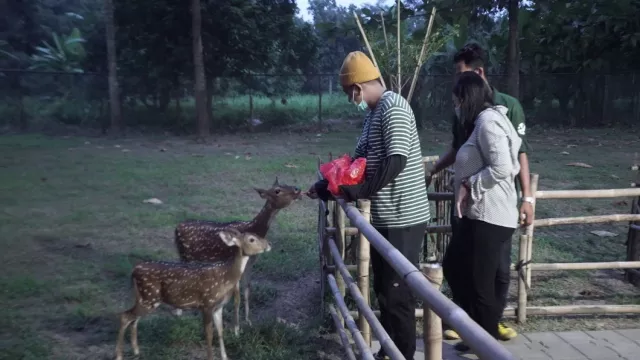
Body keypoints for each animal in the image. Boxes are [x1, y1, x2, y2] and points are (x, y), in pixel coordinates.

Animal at [115, 229, 270, 360]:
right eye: (251, 239)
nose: (269, 245)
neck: (226, 277)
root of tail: (134, 270)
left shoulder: (218, 307)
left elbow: (220, 332)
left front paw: (225, 357)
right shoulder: (207, 304)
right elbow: (209, 334)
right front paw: (211, 358)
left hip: (146, 298)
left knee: (134, 319)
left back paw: (136, 351)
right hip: (149, 298)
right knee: (124, 316)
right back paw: (119, 356)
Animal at [174, 177, 302, 332]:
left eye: (286, 183)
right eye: (277, 190)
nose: (297, 189)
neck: (252, 229)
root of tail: (176, 228)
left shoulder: (250, 263)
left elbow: (247, 291)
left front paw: (248, 321)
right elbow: (237, 298)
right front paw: (236, 329)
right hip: (184, 255)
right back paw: (180, 314)